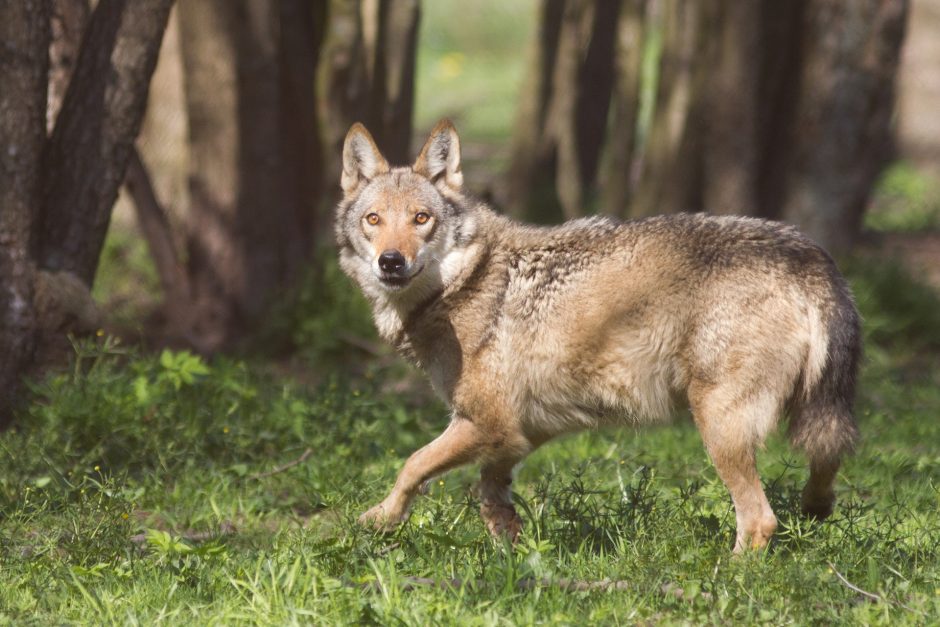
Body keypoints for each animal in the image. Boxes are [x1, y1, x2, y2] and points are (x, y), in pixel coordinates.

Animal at [336, 120, 860, 552]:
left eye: (421, 219)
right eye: (374, 220)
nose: (391, 262)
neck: (463, 283)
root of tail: (807, 254)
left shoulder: (486, 422)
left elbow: (412, 465)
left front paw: (378, 520)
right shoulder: (520, 432)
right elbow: (489, 491)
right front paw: (513, 551)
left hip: (719, 427)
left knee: (759, 520)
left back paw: (727, 578)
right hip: (813, 414)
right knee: (827, 464)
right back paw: (814, 509)